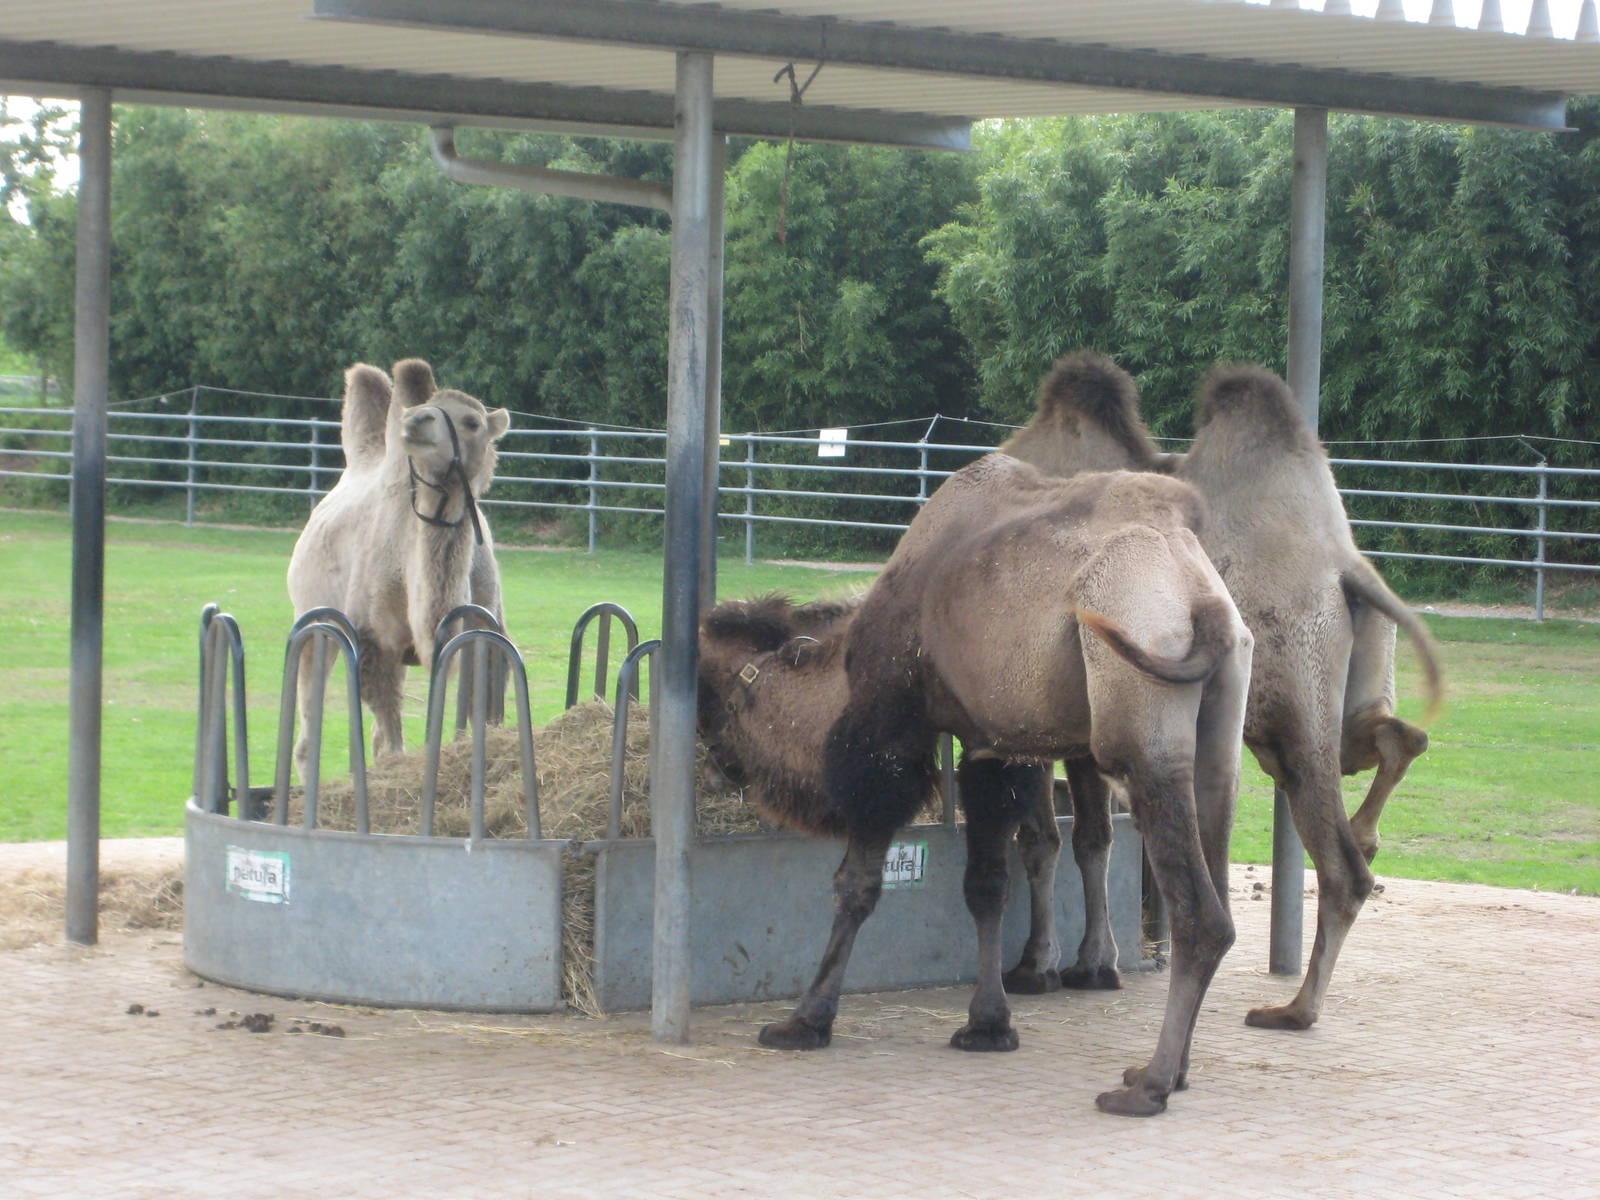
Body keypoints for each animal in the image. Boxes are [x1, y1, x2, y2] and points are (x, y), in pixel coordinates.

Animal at [287, 359, 510, 765]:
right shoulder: (376, 641)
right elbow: (391, 737)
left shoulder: (482, 627)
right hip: (314, 620)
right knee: (310, 731)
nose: (416, 421)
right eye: (425, 407)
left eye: (472, 422)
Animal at [699, 455, 1253, 1116]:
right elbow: (988, 884)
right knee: (1213, 876)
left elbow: (857, 884)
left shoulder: (887, 740)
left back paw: (1149, 1084)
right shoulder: (993, 744)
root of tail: (1202, 602)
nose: (713, 762)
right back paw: (1172, 1070)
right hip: (1218, 742)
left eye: (707, 690)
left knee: (1201, 914)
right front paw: (988, 1023)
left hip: (1138, 718)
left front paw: (805, 1020)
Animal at [1003, 352, 1442, 1031]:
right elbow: (1088, 836)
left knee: (1341, 859)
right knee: (1395, 740)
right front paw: (1092, 962)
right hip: (1342, 695)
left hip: (1286, 697)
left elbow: (1054, 837)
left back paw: (1294, 1008)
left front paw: (1042, 967)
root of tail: (1346, 569)